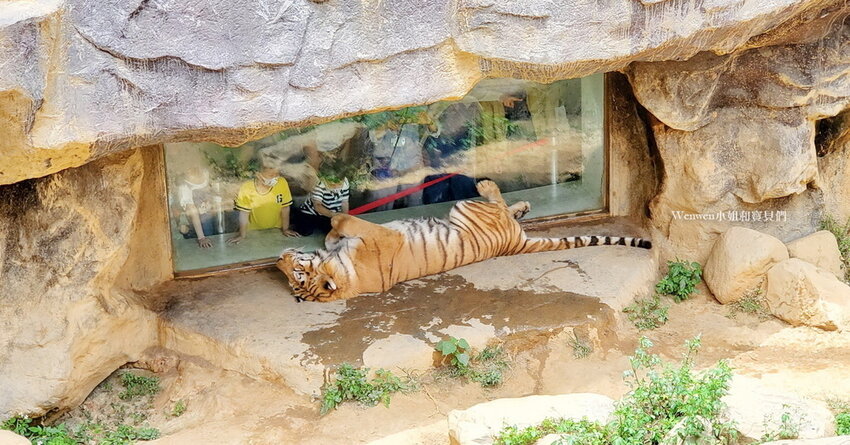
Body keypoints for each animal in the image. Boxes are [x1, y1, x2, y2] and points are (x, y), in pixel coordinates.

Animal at [277, 180, 652, 302]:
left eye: (296, 272)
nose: (278, 259)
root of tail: (515, 245)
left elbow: (337, 224)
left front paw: (328, 224)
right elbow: (340, 221)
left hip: (465, 208)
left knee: (503, 204)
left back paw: (519, 203)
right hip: (467, 208)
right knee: (497, 203)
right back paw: (496, 191)